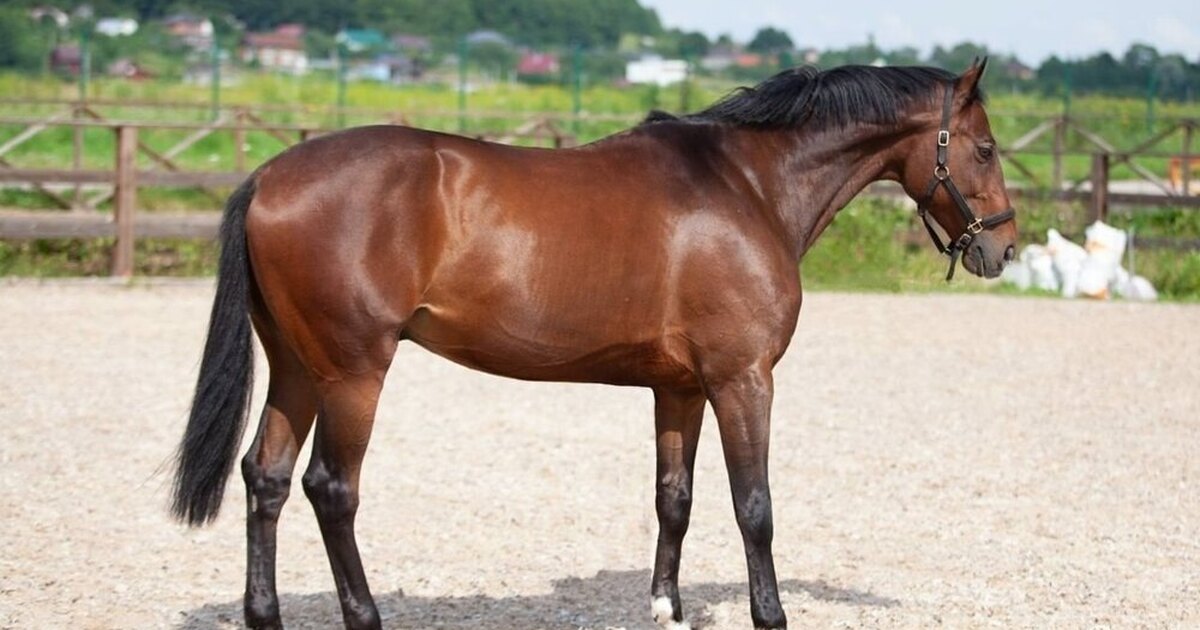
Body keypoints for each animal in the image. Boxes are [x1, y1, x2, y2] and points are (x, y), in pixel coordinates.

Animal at [172, 59, 1016, 630]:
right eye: (985, 148)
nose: (1002, 248)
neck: (746, 184)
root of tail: (270, 176)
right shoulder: (742, 379)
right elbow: (755, 506)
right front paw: (770, 614)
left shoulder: (680, 387)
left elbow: (674, 499)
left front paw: (666, 606)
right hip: (353, 372)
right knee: (330, 488)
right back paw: (365, 613)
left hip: (298, 368)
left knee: (267, 479)